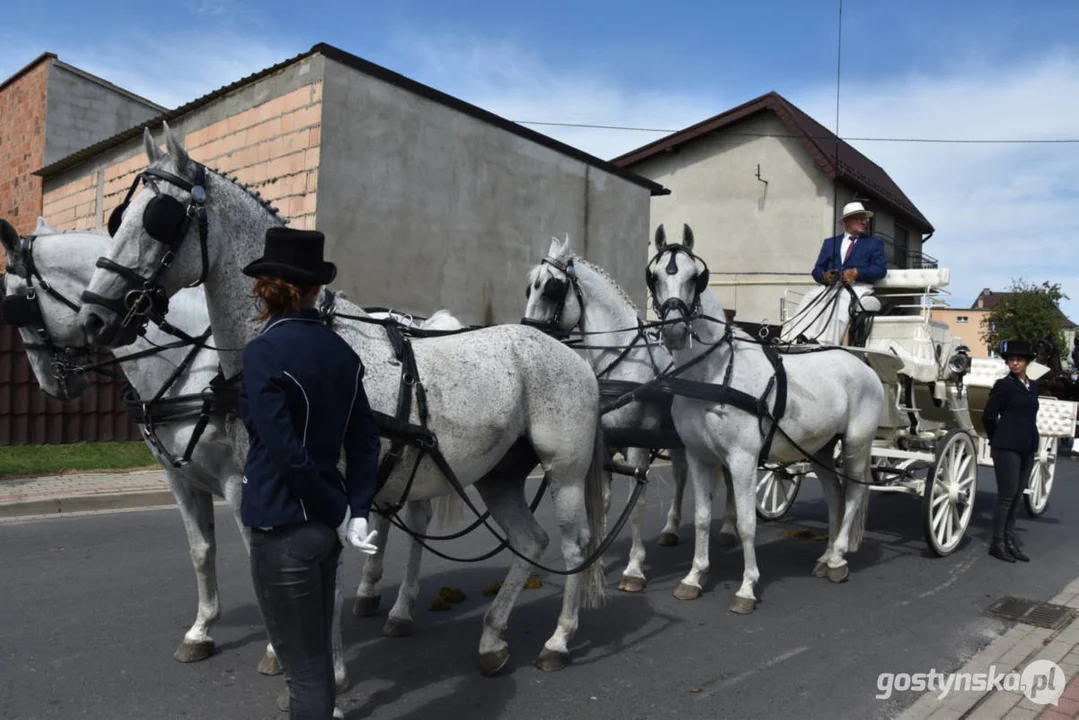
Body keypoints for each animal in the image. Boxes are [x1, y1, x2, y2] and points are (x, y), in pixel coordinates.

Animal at [0, 215, 461, 690]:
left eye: (16, 304)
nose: (53, 385)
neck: (196, 366)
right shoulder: (179, 478)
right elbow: (201, 552)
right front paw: (201, 631)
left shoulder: (241, 481)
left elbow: (261, 552)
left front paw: (276, 650)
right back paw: (369, 592)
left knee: (418, 521)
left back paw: (401, 610)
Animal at [77, 120, 617, 673]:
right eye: (119, 219)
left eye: (158, 221)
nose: (93, 316)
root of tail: (569, 354)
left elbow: (326, 579)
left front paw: (325, 667)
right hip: (498, 473)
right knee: (531, 540)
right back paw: (491, 638)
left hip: (564, 472)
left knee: (575, 546)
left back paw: (558, 639)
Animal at [522, 235, 742, 591]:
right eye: (531, 287)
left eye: (553, 288)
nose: (529, 333)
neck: (620, 359)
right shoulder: (605, 448)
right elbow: (602, 503)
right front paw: (596, 560)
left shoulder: (637, 448)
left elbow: (635, 507)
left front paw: (634, 569)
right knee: (681, 474)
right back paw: (670, 529)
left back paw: (729, 528)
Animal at [643, 222, 880, 613]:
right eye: (654, 276)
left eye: (696, 278)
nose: (675, 333)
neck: (714, 371)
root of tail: (861, 363)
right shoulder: (698, 457)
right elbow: (703, 519)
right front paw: (694, 577)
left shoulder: (742, 460)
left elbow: (747, 523)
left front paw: (747, 587)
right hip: (820, 448)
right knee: (834, 495)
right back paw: (826, 555)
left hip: (856, 444)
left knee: (853, 496)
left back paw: (837, 559)